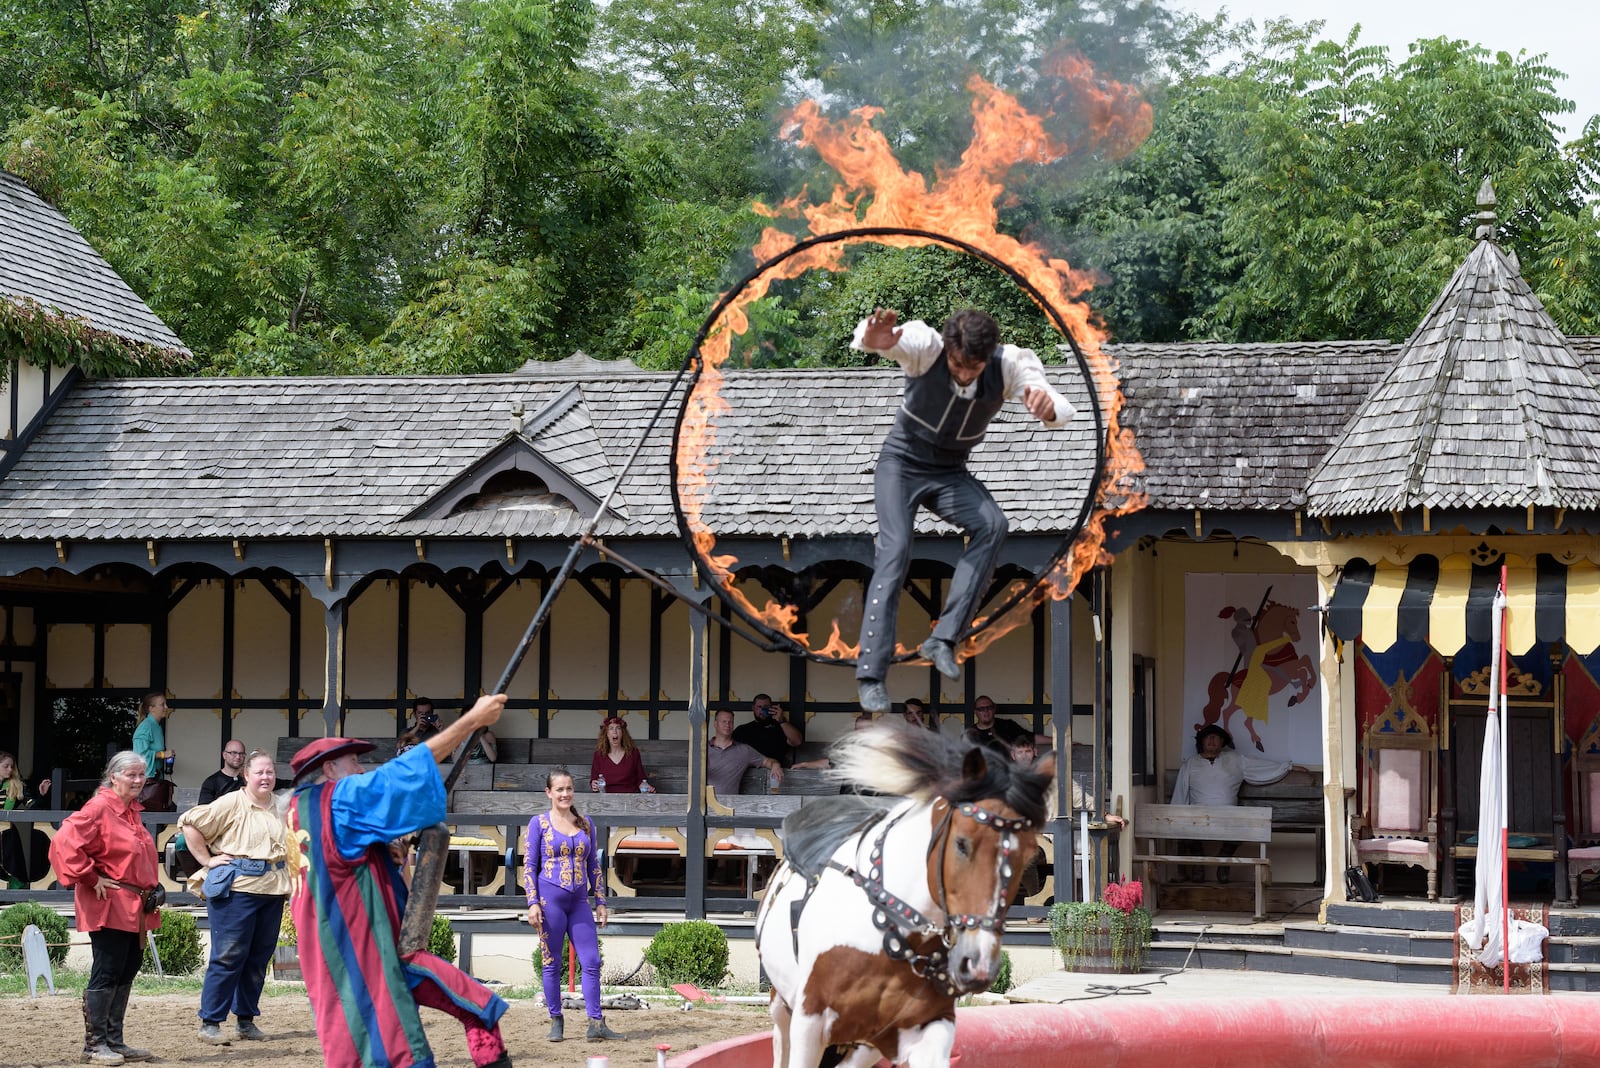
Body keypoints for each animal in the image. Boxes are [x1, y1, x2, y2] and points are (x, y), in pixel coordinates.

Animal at [752, 725, 1049, 1068]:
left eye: (1028, 855)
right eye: (962, 843)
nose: (977, 965)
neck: (890, 937)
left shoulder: (924, 1026)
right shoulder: (809, 1022)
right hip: (782, 1009)